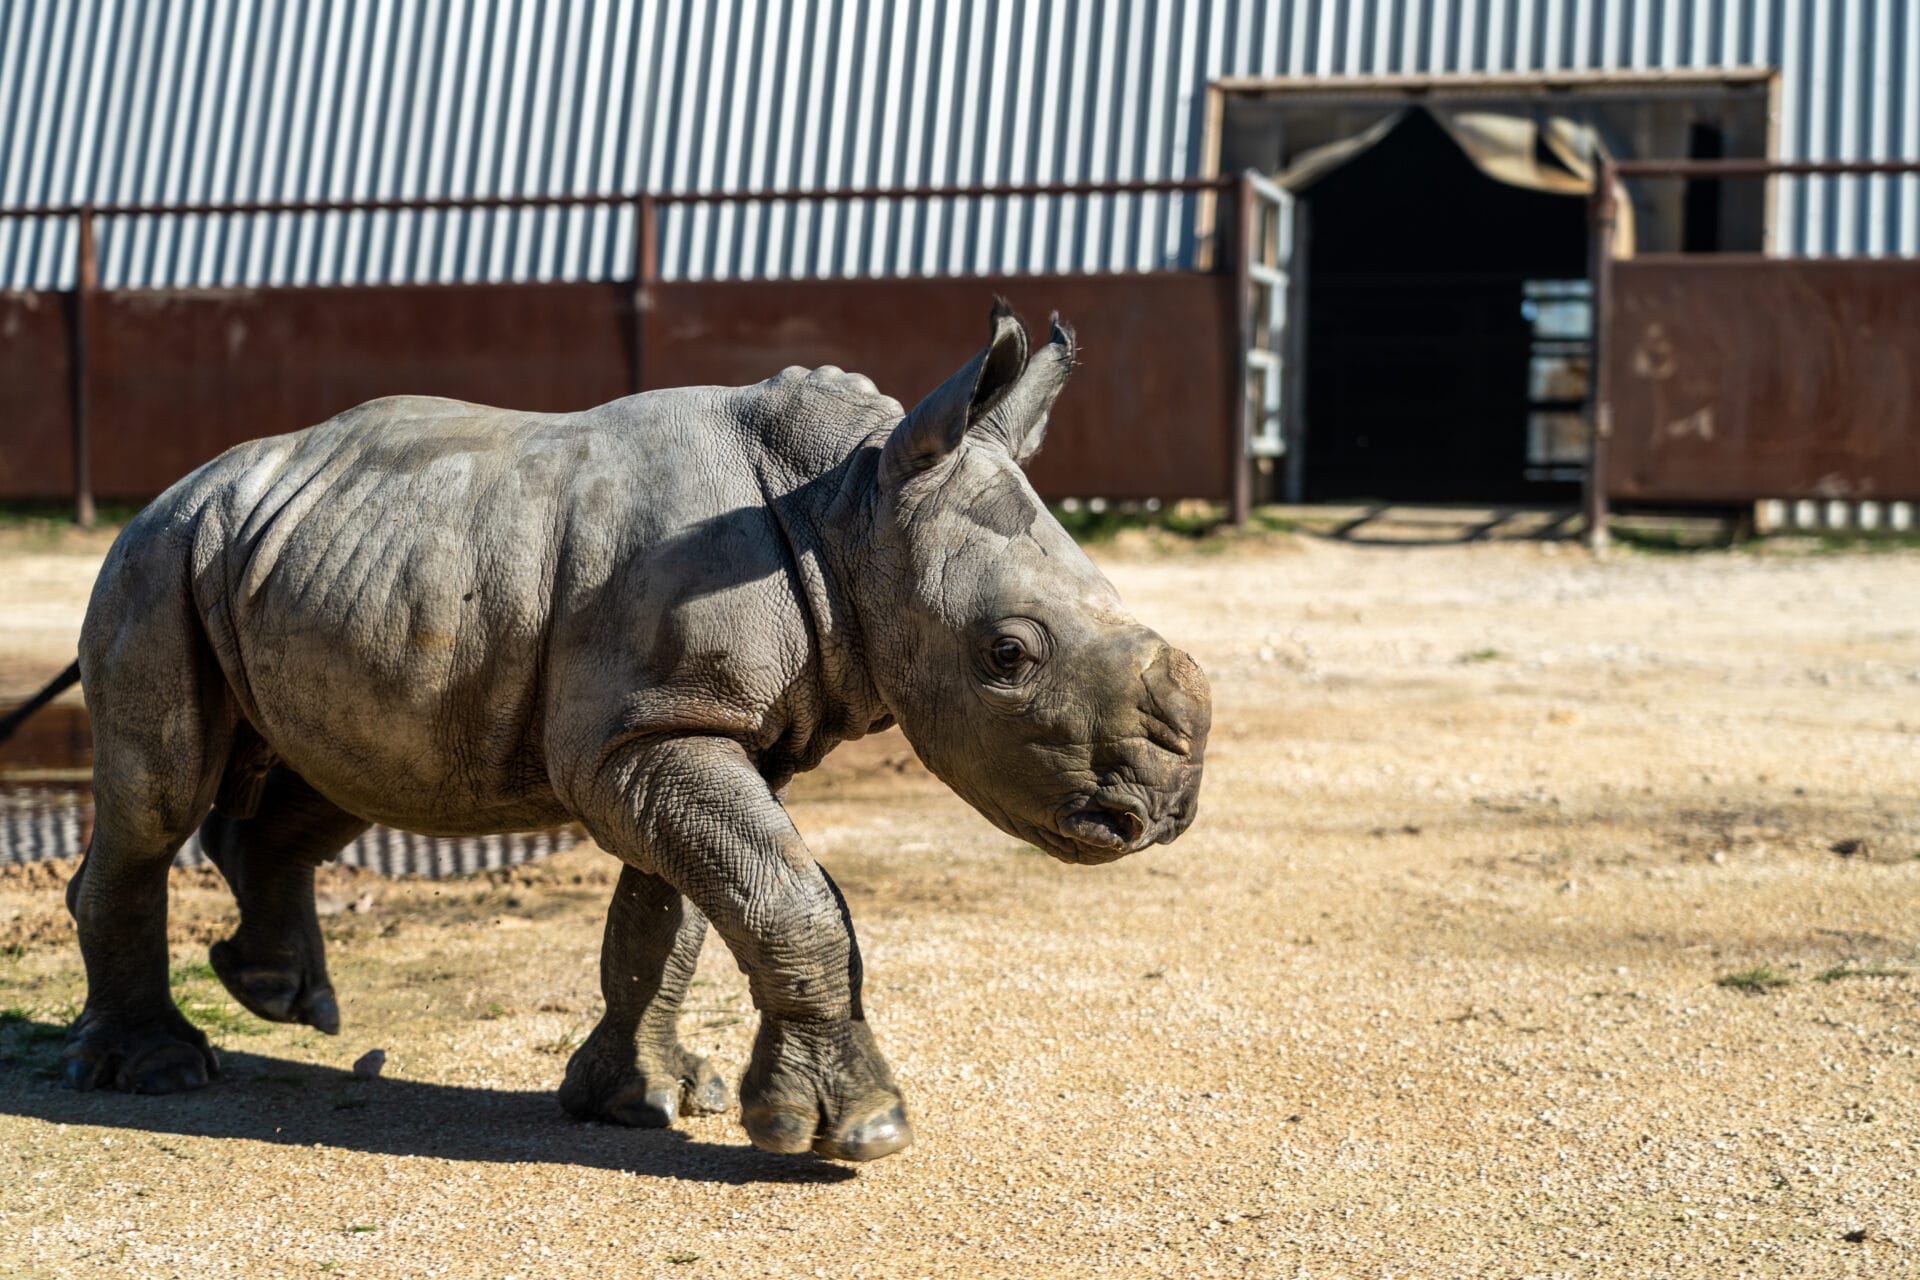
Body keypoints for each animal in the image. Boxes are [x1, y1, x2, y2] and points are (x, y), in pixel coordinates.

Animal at [36, 302, 1210, 1161]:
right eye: (1008, 654)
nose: (1163, 808)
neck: (848, 507)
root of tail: (180, 486)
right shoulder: (646, 729)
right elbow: (784, 895)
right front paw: (854, 1131)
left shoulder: (686, 722)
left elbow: (675, 914)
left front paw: (643, 1100)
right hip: (155, 558)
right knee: (163, 790)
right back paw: (162, 1070)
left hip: (297, 557)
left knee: (337, 773)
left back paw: (283, 997)